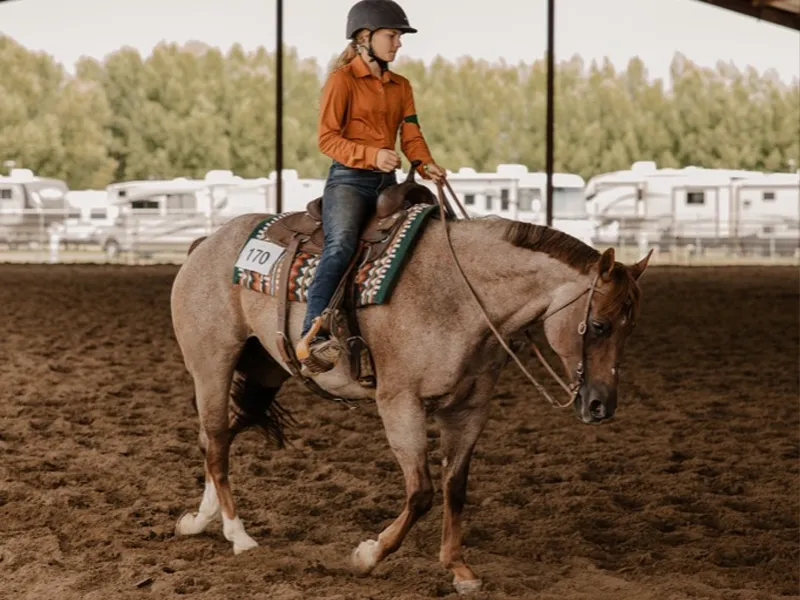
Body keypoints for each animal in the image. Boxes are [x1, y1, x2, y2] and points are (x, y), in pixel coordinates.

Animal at [169, 188, 652, 594]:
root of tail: (205, 245)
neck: (459, 294)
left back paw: (200, 520)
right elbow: (421, 492)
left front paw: (459, 569)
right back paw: (238, 534)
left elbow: (454, 487)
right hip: (211, 365)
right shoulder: (400, 403)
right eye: (599, 325)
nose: (601, 405)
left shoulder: (469, 408)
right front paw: (367, 555)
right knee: (216, 440)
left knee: (218, 437)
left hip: (265, 371)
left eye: (631, 328)